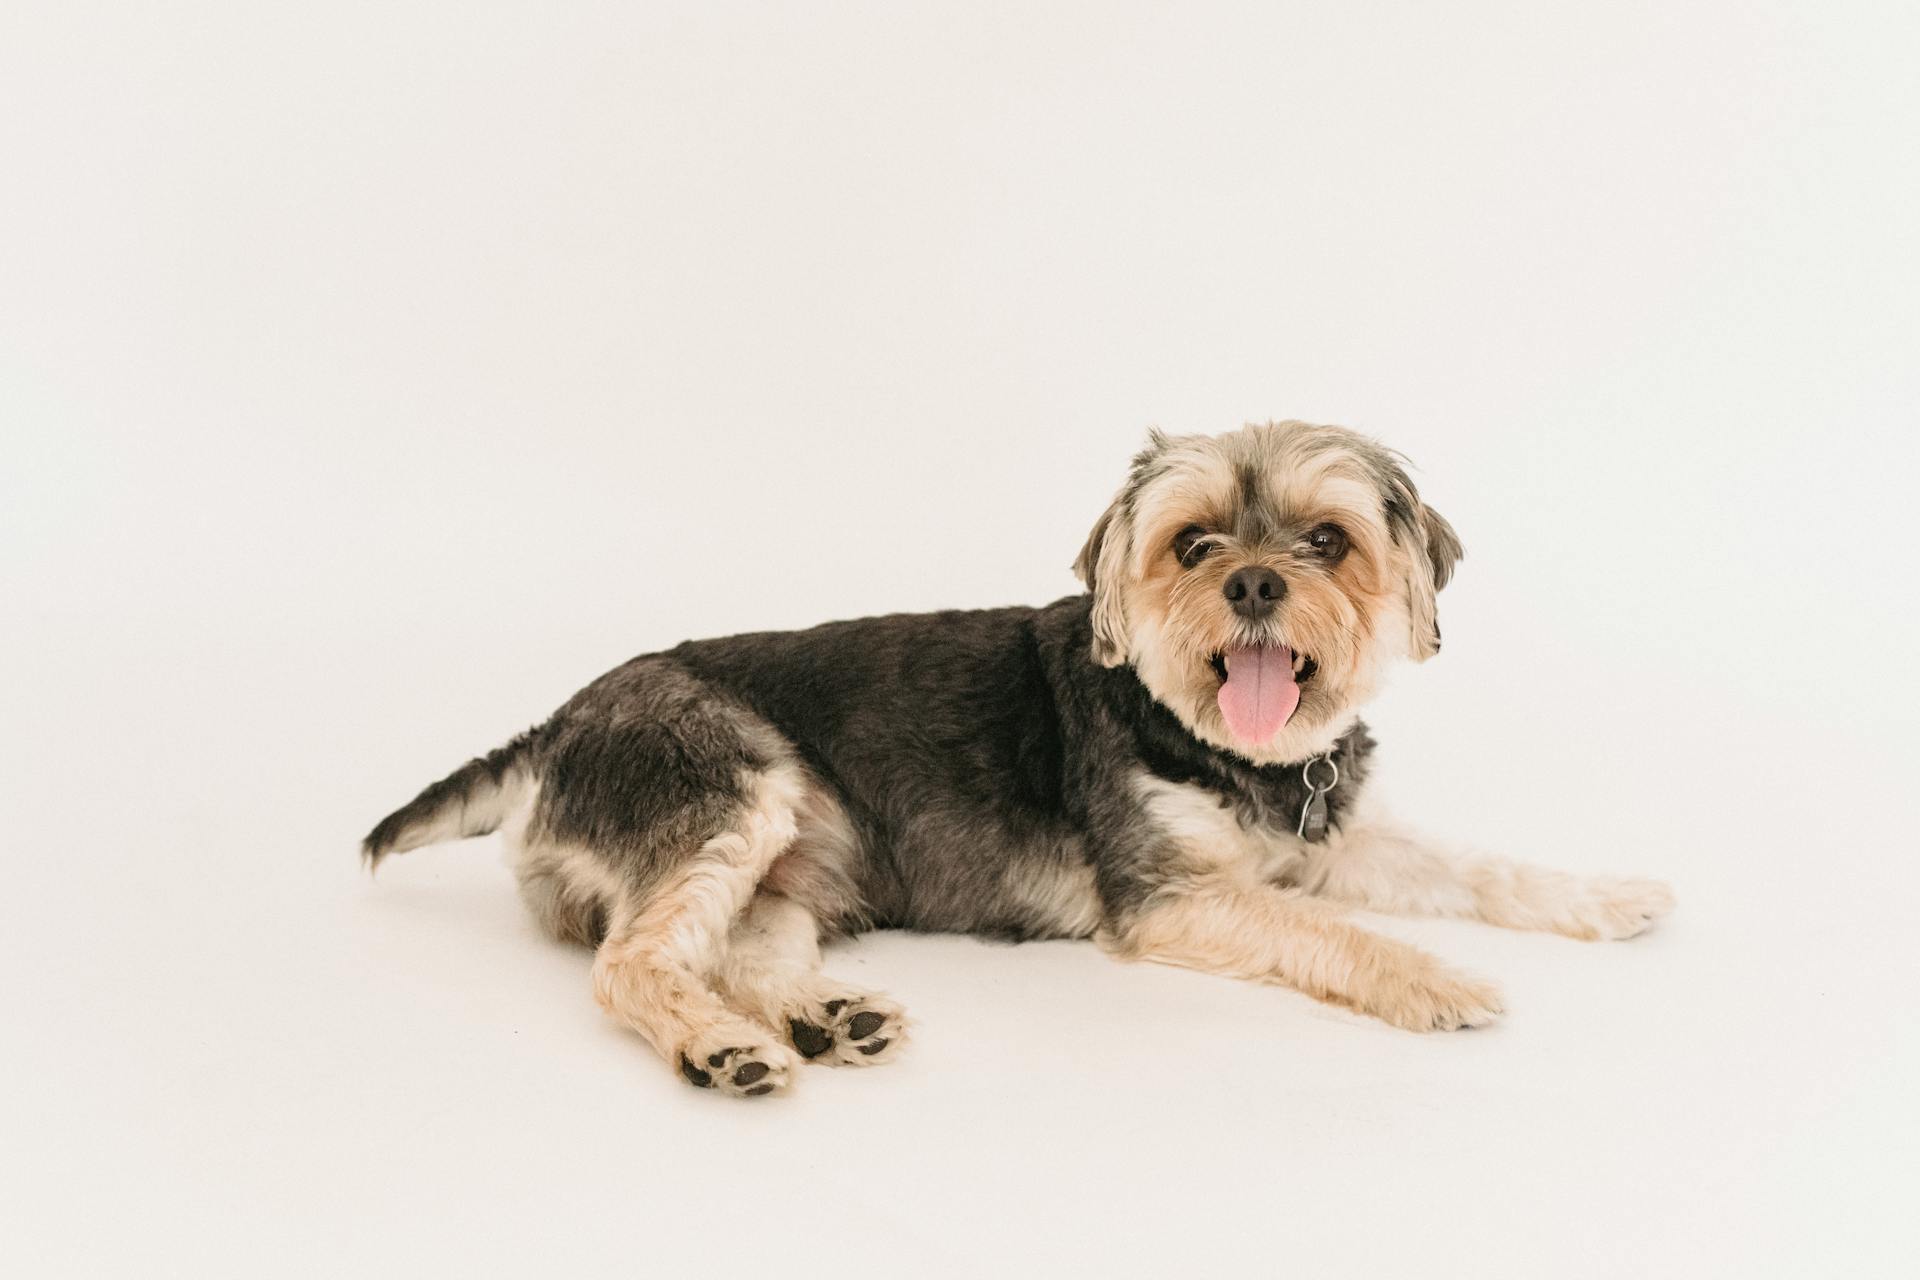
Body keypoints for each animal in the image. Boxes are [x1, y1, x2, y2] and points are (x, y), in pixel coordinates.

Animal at [366, 422, 1674, 1105]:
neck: (1229, 749)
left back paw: (824, 1016)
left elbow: (1478, 865)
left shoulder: (1336, 833)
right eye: (1191, 545)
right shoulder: (1170, 897)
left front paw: (1609, 895)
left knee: (734, 949)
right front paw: (1434, 977)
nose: (1254, 583)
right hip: (729, 784)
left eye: (1325, 539)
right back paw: (721, 1046)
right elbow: (1325, 928)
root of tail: (556, 725)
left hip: (797, 858)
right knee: (634, 962)